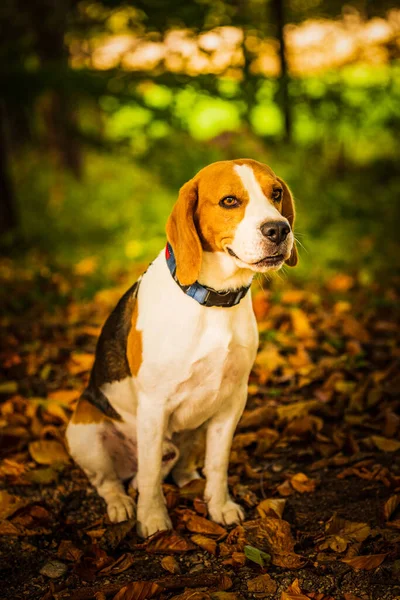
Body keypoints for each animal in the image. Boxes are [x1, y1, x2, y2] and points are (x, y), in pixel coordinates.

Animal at [65, 157, 296, 536]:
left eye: (275, 193)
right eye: (230, 201)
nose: (278, 229)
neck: (213, 300)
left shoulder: (233, 400)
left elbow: (218, 464)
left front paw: (219, 506)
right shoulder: (153, 406)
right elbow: (150, 475)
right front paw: (153, 519)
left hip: (195, 428)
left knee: (181, 462)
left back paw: (190, 480)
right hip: (84, 434)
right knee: (109, 481)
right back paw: (121, 503)